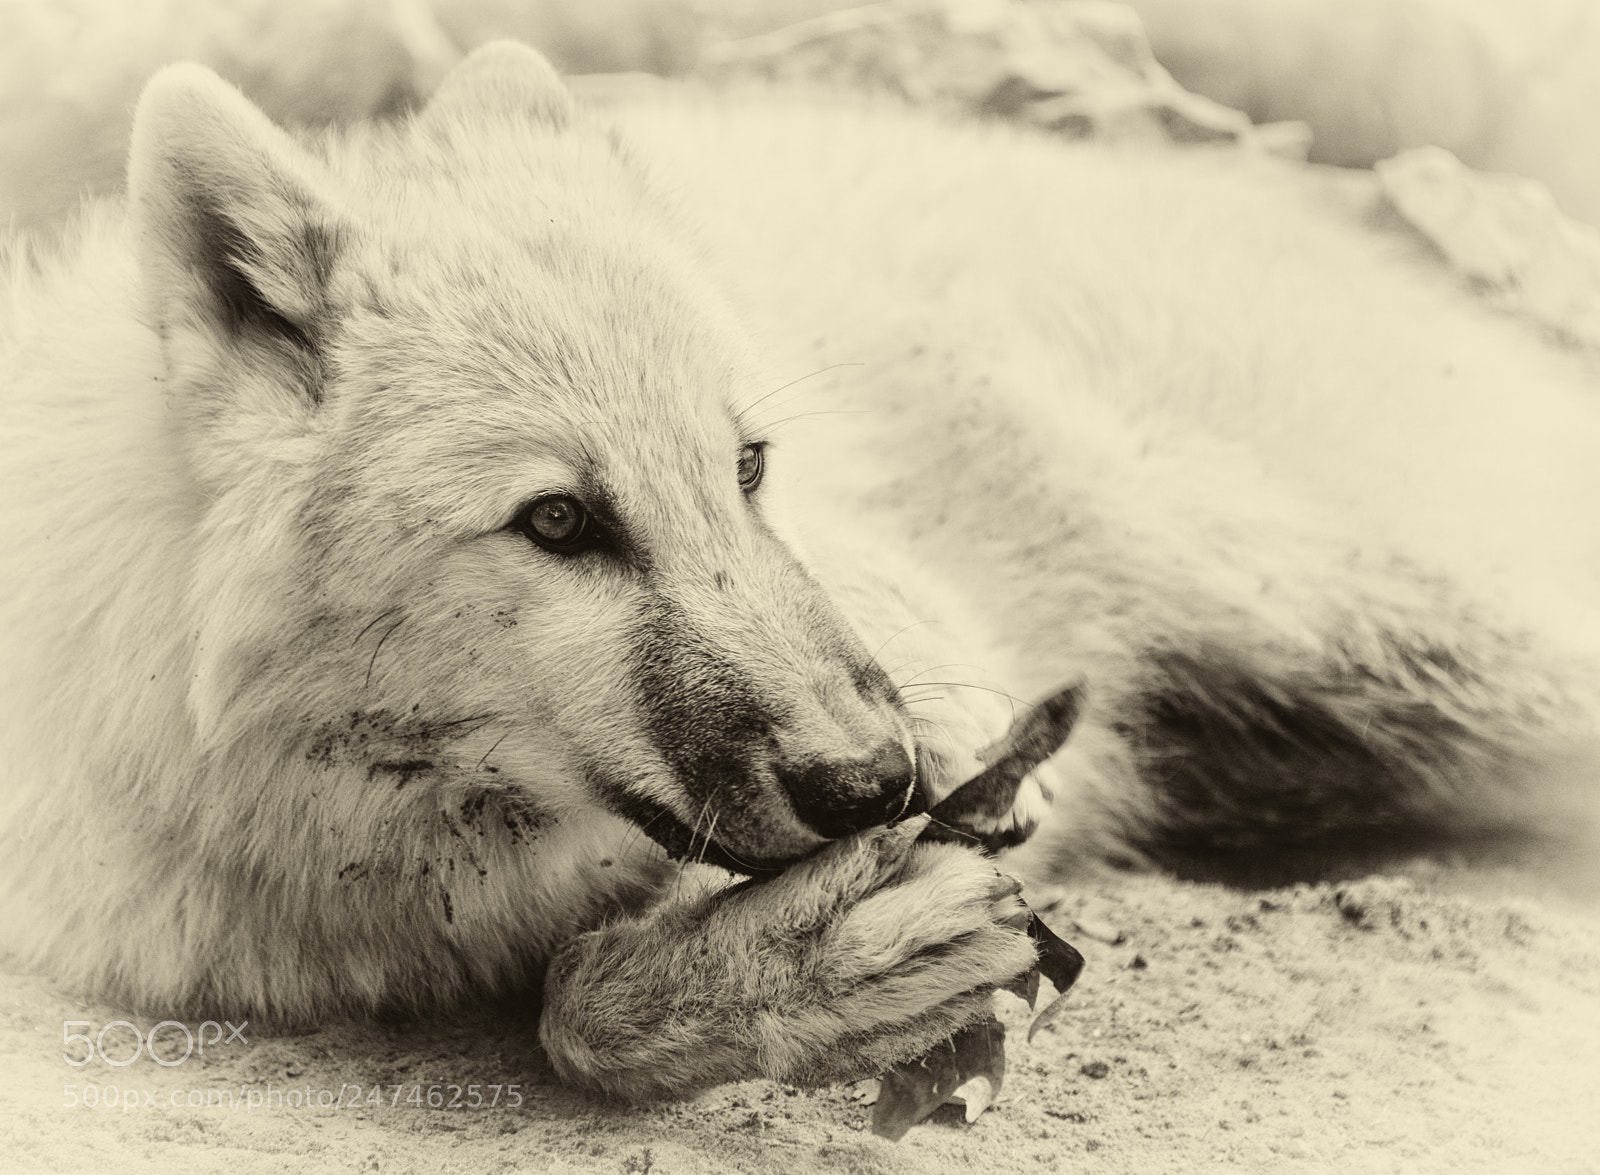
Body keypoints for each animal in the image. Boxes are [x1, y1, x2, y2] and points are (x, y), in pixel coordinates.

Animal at [1, 41, 1596, 1100]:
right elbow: (575, 1006)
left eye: (750, 466)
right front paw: (812, 962)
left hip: (1399, 627)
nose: (873, 779)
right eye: (559, 522)